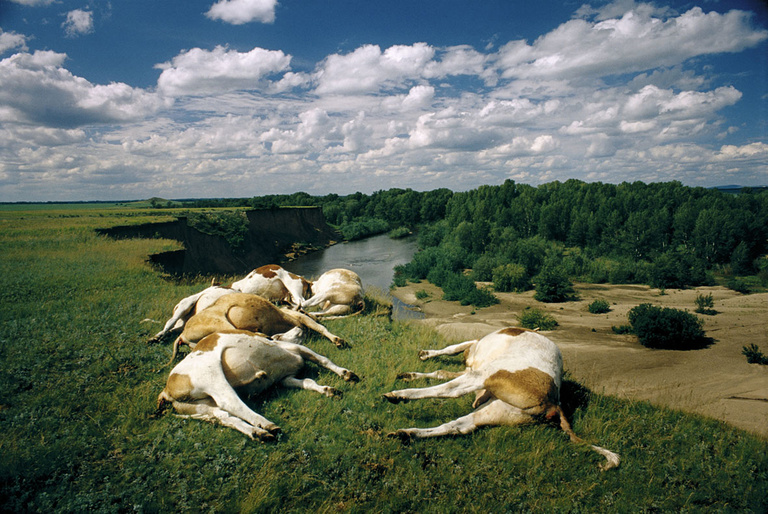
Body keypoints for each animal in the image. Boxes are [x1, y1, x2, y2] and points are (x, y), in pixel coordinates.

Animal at [157, 330, 364, 438]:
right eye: (279, 335)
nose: (300, 329)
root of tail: (166, 389)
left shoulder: (285, 378)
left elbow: (308, 382)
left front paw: (328, 390)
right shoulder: (297, 348)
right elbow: (323, 359)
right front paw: (346, 374)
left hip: (202, 406)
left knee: (224, 416)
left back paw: (257, 433)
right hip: (212, 376)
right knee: (232, 404)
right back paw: (266, 424)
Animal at [380, 328, 620, 468]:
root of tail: (554, 403)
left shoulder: (472, 352)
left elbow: (450, 351)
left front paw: (424, 357)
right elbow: (441, 370)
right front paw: (412, 373)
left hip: (488, 375)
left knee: (449, 390)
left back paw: (398, 395)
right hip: (499, 409)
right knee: (458, 425)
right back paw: (406, 433)